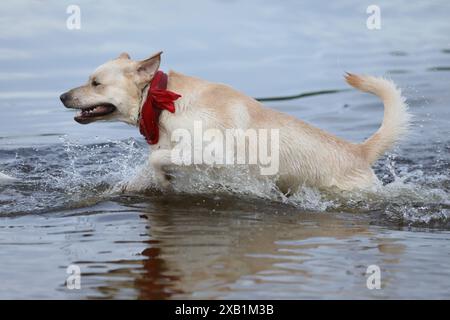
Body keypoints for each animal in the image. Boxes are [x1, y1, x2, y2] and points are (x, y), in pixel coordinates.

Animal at [60, 52, 412, 192]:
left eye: (95, 83)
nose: (62, 96)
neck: (160, 103)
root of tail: (359, 151)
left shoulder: (215, 154)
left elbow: (156, 159)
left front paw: (164, 180)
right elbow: (147, 167)